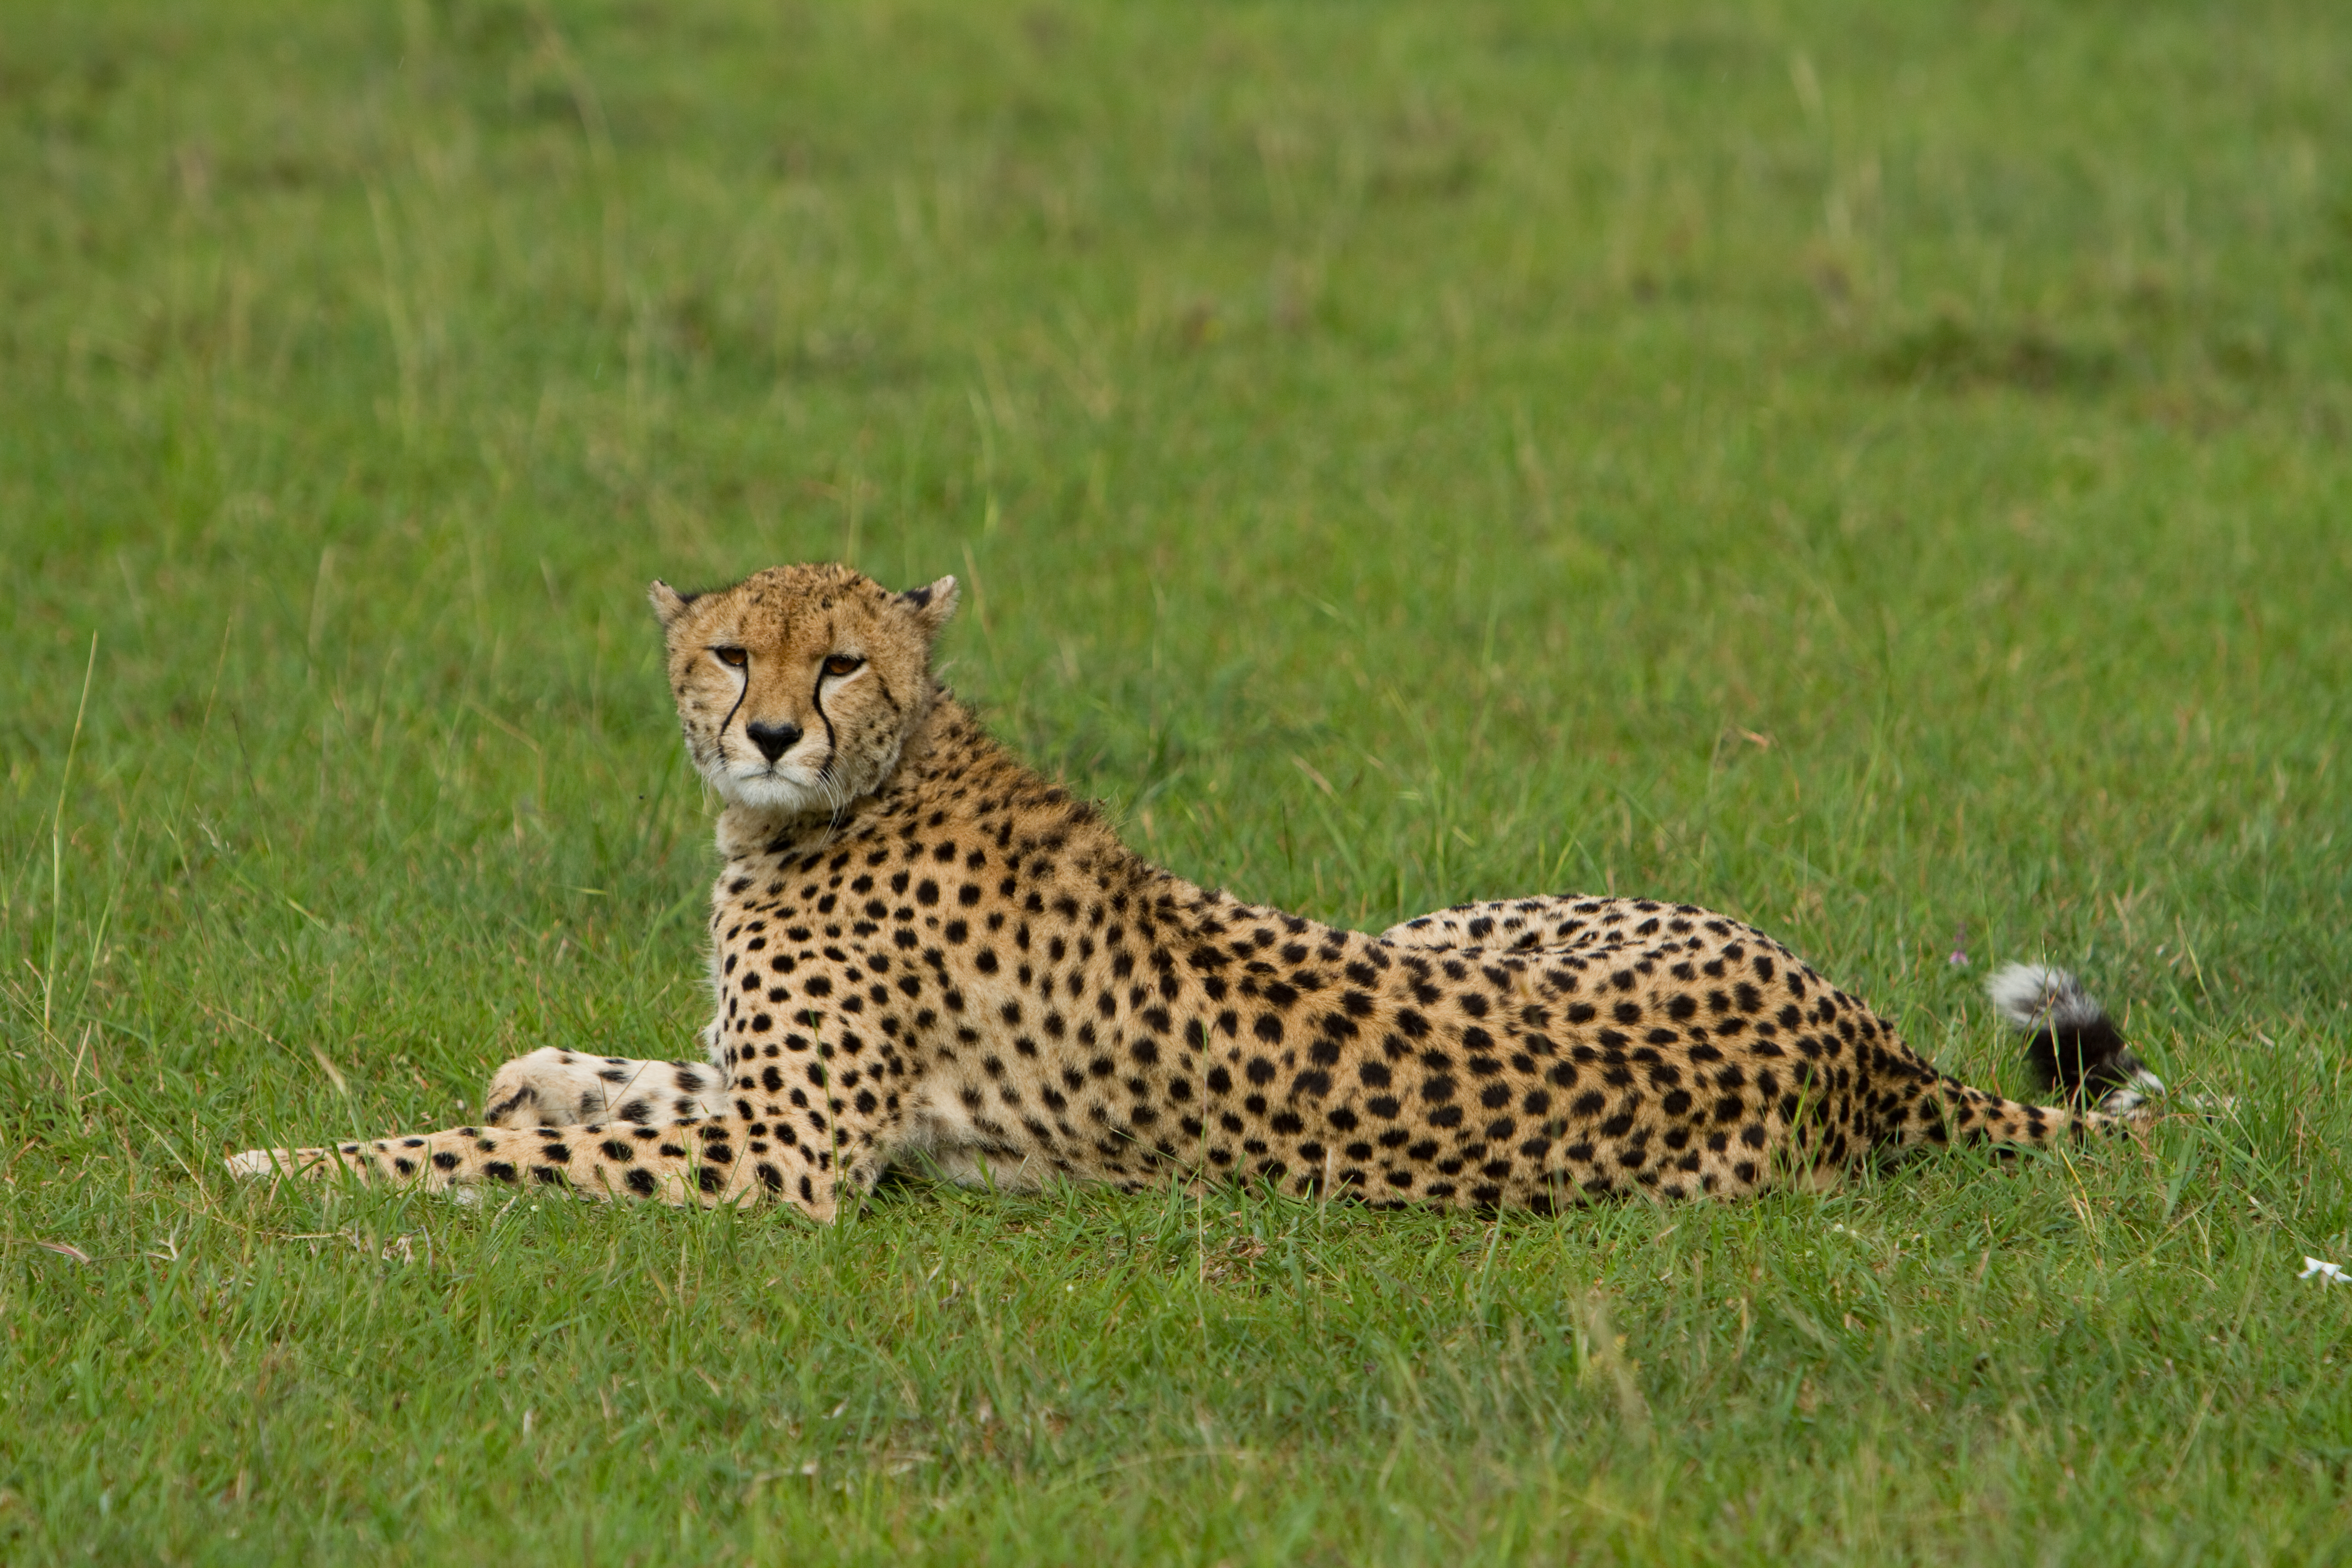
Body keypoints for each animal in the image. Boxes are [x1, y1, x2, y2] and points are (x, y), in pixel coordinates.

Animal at [227, 562, 2168, 1222]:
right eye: (728, 648)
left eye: (838, 659)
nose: (770, 729)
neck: (880, 779)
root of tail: (1865, 1045)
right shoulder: (771, 1102)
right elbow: (596, 1083)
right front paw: (522, 1077)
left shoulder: (789, 1158)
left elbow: (493, 1155)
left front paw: (273, 1170)